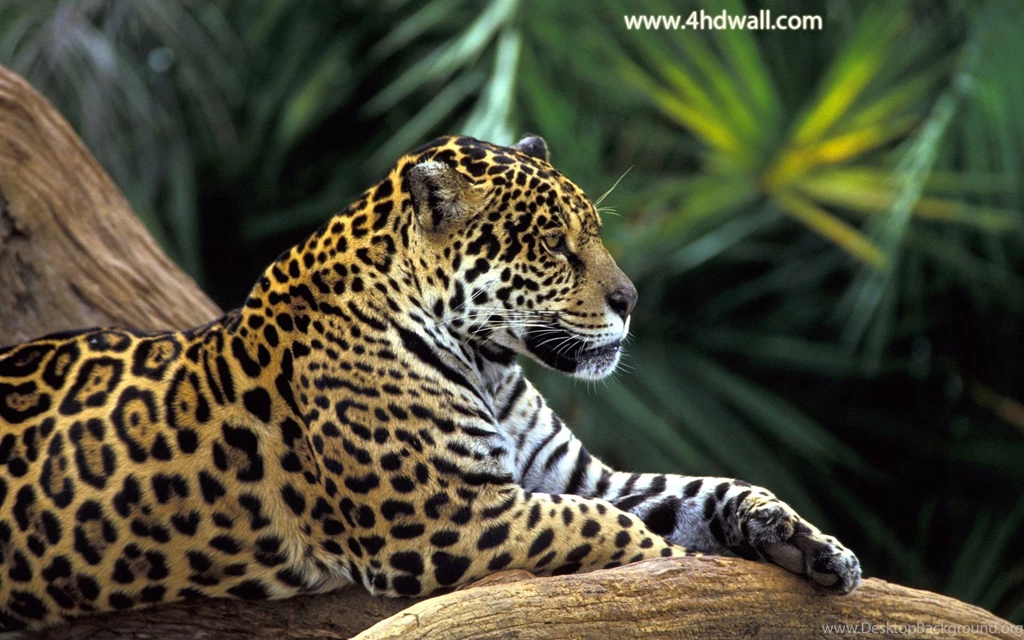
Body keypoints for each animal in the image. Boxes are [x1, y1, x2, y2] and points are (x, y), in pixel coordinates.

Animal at [0, 134, 861, 632]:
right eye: (556, 246)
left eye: (596, 232)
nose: (631, 300)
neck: (490, 359)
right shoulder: (445, 519)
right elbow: (605, 529)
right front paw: (671, 565)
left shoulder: (573, 475)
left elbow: (704, 492)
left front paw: (812, 545)